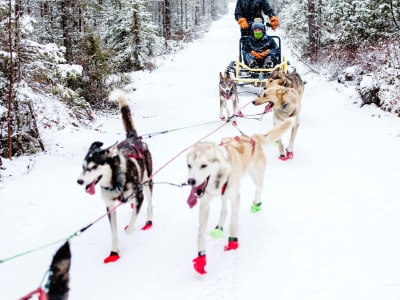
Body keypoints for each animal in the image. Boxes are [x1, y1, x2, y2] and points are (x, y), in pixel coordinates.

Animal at [76, 88, 153, 262]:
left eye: (94, 166)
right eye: (83, 167)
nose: (79, 181)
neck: (117, 181)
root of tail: (132, 138)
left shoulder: (139, 195)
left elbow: (131, 224)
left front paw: (130, 229)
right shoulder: (110, 207)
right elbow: (114, 233)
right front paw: (114, 252)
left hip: (147, 183)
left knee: (150, 204)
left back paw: (149, 221)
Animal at [186, 118, 292, 274]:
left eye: (203, 165)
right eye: (189, 165)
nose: (191, 181)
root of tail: (253, 138)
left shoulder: (236, 198)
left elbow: (234, 223)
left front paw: (232, 242)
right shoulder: (205, 204)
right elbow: (200, 234)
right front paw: (201, 257)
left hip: (256, 178)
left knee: (258, 190)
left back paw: (256, 204)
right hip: (226, 194)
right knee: (224, 209)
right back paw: (219, 226)